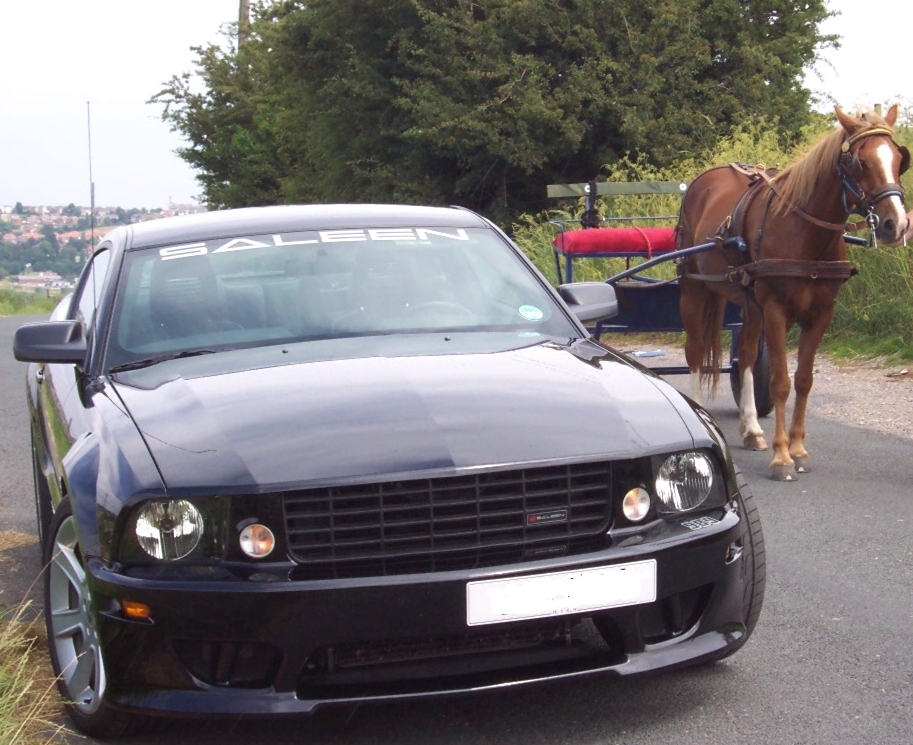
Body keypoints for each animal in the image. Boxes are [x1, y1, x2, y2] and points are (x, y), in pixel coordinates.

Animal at [676, 105, 910, 481]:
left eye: (899, 158)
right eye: (860, 162)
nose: (897, 224)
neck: (806, 234)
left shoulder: (820, 313)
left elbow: (803, 380)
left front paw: (798, 450)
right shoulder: (776, 311)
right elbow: (781, 383)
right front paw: (782, 457)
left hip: (748, 302)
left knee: (745, 355)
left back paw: (752, 428)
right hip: (693, 289)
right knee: (695, 354)